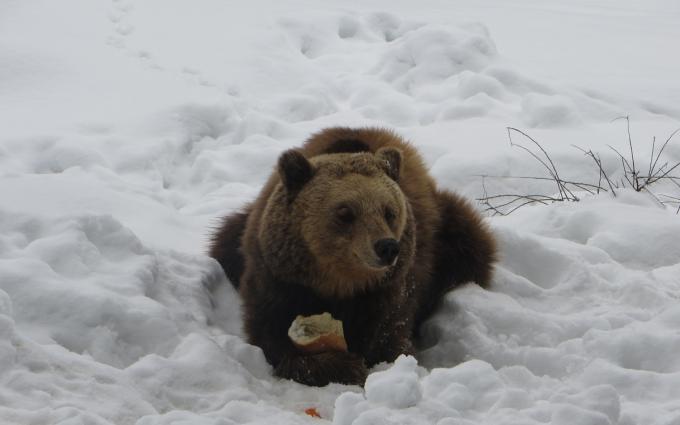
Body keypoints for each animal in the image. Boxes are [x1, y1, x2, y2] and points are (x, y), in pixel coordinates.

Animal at [210, 127, 496, 386]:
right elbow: (270, 334)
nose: (387, 247)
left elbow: (388, 337)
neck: (338, 284)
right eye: (345, 212)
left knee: (471, 246)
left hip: (449, 231)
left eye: (389, 211)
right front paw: (340, 364)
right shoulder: (280, 278)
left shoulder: (389, 288)